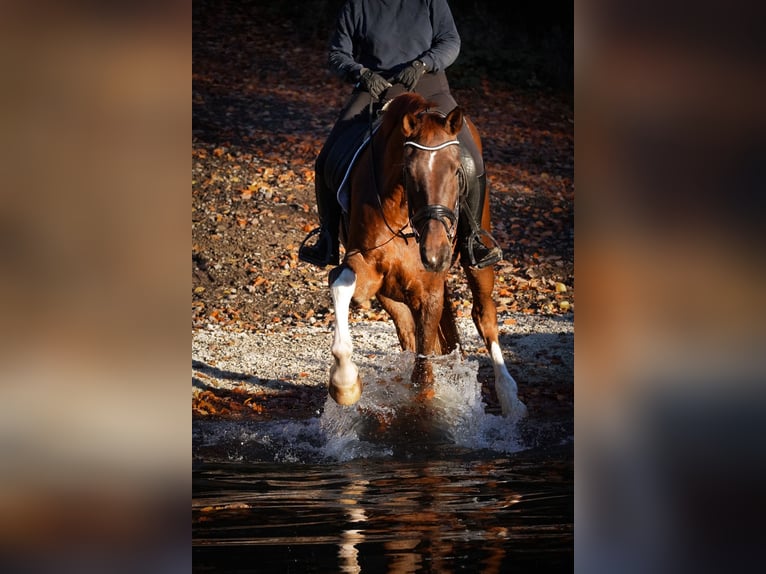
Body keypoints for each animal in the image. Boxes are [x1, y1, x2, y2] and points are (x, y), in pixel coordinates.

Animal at [326, 92, 526, 420]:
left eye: (456, 170)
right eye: (408, 171)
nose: (435, 255)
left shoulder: (430, 290)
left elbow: (424, 372)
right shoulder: (368, 269)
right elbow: (340, 280)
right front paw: (345, 383)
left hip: (477, 261)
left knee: (483, 314)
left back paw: (509, 397)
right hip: (391, 294)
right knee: (408, 332)